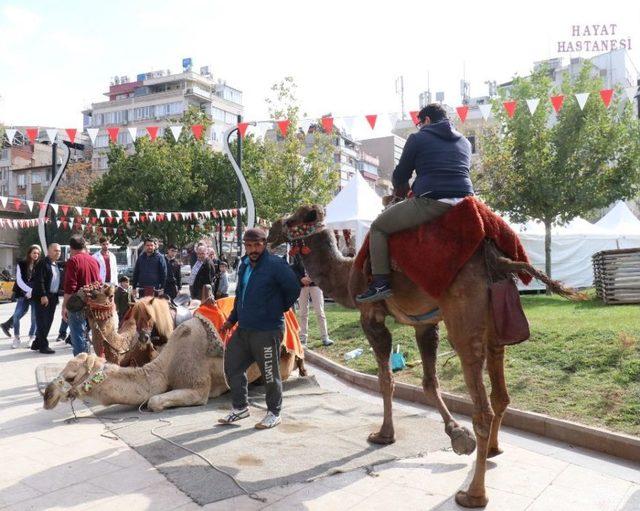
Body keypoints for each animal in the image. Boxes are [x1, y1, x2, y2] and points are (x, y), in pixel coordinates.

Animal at [268, 199, 584, 508]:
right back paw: (493, 450)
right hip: (497, 322)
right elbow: (429, 383)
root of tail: (499, 260)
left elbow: (386, 380)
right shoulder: (426, 323)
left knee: (481, 404)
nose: (271, 231)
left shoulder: (371, 316)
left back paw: (473, 494)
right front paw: (457, 434)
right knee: (500, 393)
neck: (345, 275)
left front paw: (384, 435)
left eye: (295, 218)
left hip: (463, 318)